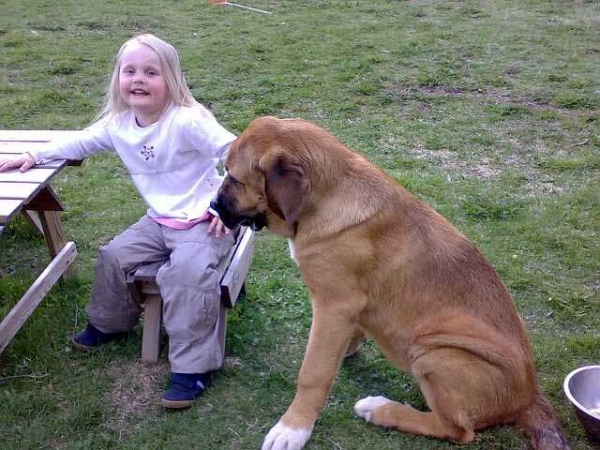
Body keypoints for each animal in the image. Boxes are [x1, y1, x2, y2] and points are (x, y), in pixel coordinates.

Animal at [211, 117, 572, 450]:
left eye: (234, 177)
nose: (213, 206)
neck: (326, 198)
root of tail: (531, 396)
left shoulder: (333, 305)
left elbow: (313, 373)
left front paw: (294, 427)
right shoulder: (347, 308)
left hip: (434, 354)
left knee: (457, 430)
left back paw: (380, 409)